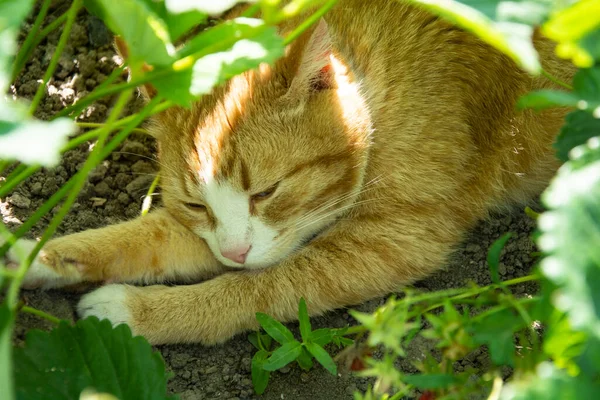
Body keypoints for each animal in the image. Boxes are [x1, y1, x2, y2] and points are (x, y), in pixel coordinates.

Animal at [8, 0, 572, 344]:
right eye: (195, 205)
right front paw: (30, 256)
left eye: (267, 192)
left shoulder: (393, 239)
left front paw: (137, 312)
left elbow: (255, 289)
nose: (235, 255)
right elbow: (137, 240)